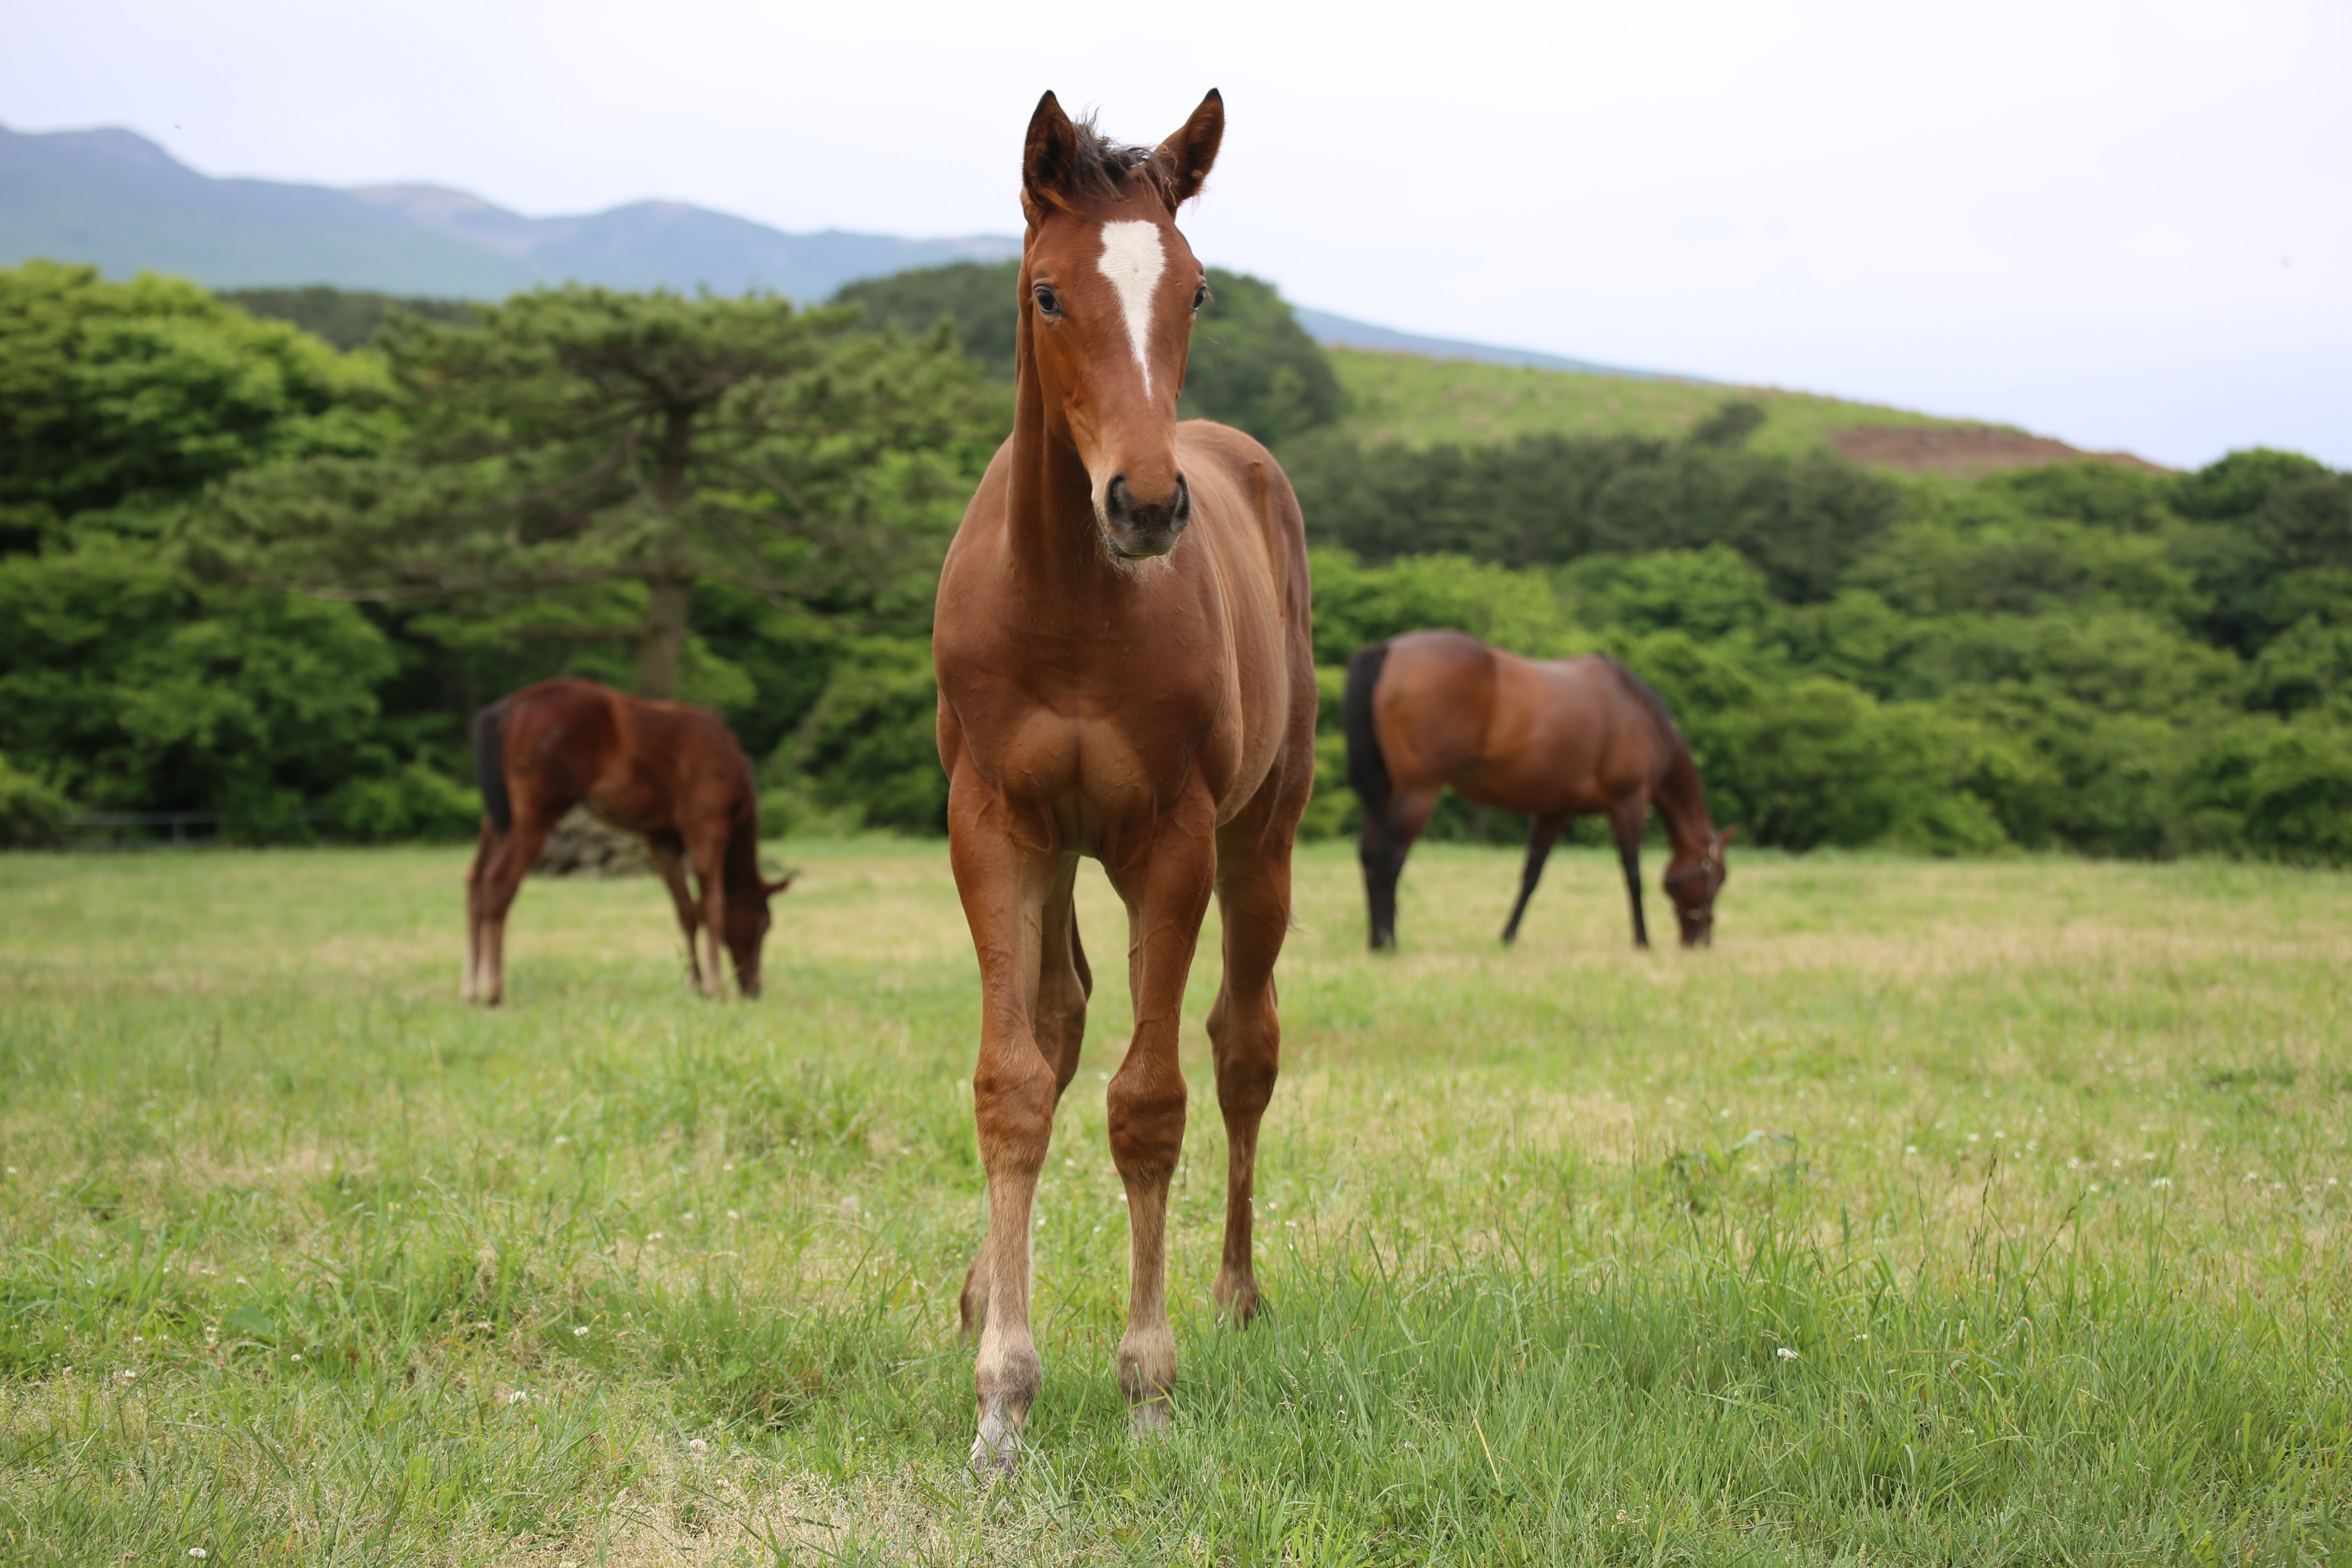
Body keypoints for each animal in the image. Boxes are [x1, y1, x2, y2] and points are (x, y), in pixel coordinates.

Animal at [463, 677, 795, 1006]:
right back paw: (493, 989)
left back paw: (471, 988)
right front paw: (717, 988)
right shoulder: (706, 826)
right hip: (537, 812)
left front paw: (697, 985)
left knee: (476, 879)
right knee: (499, 878)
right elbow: (714, 907)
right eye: (764, 924)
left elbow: (687, 912)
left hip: (498, 816)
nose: (754, 988)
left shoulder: (662, 838)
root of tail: (508, 707)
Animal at [927, 92, 1317, 1476]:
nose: (1145, 505)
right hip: (1058, 851)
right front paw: (999, 1399)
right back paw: (983, 1288)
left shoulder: (1172, 841)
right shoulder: (993, 826)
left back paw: (1239, 1294)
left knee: (1245, 1046)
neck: (1073, 608)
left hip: (1264, 841)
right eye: (1049, 293)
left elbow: (1151, 1101)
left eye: (1195, 290)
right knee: (1059, 1020)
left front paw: (1147, 1387)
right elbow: (1013, 1080)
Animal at [1345, 630, 1731, 949]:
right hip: (1419, 791)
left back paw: (1375, 939)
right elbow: (1633, 872)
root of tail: (1389, 650)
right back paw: (1387, 941)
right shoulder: (1629, 803)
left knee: (1370, 854)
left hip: (1385, 790)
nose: (1702, 940)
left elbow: (1532, 875)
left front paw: (1508, 936)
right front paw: (1642, 940)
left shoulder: (1554, 811)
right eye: (1719, 877)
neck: (1638, 714)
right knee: (1390, 856)